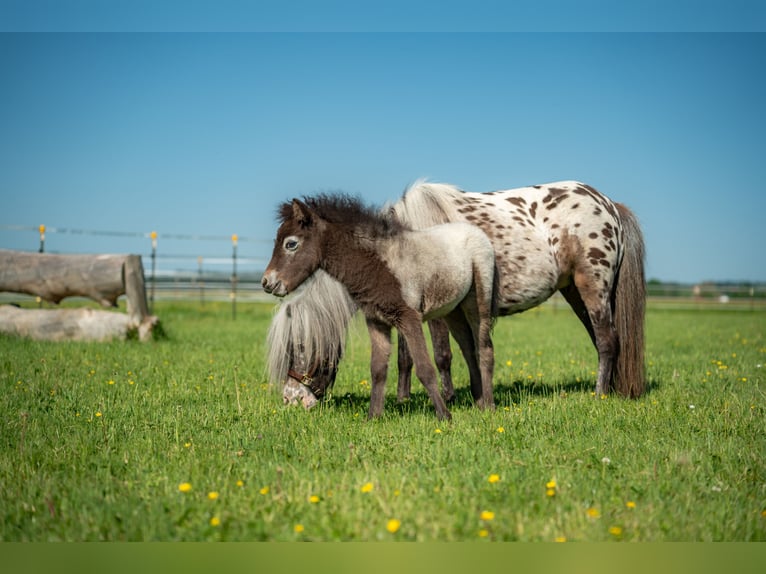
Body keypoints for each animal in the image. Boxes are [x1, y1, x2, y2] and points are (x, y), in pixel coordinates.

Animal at [261, 193, 499, 421]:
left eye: (291, 244)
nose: (267, 283)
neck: (379, 265)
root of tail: (476, 232)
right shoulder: (376, 321)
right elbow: (377, 370)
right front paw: (373, 417)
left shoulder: (409, 318)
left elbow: (425, 368)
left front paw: (444, 416)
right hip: (453, 311)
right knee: (468, 348)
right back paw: (479, 401)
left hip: (478, 303)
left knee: (484, 349)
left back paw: (489, 406)